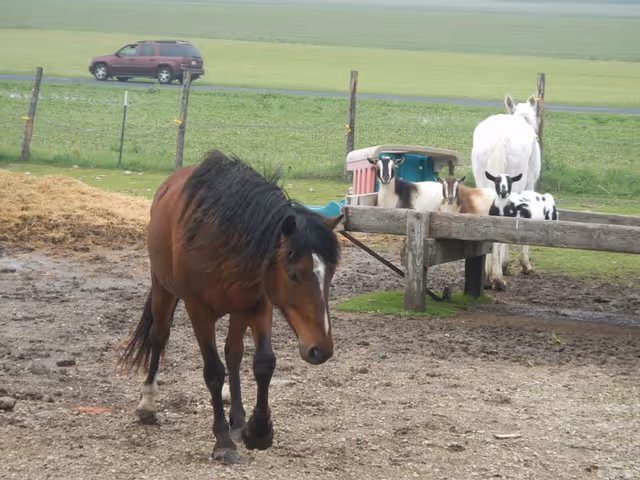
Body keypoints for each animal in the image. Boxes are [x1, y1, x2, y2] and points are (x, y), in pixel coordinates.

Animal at [117, 150, 344, 464]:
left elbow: (263, 363)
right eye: (294, 274)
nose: (321, 349)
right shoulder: (198, 310)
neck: (223, 237)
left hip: (239, 308)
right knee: (159, 337)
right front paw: (223, 442)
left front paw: (258, 431)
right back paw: (148, 404)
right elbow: (214, 371)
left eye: (331, 272)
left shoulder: (259, 305)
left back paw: (238, 420)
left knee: (234, 354)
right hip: (163, 288)